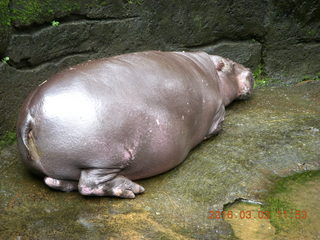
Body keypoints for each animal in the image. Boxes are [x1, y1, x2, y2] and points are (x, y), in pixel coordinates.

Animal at [16, 50, 254, 197]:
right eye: (231, 64)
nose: (251, 72)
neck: (208, 69)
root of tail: (31, 112)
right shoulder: (217, 113)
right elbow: (216, 127)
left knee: (56, 182)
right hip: (107, 156)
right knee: (89, 185)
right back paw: (131, 189)